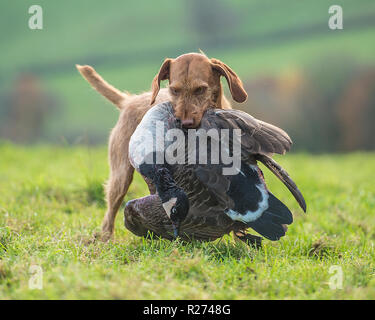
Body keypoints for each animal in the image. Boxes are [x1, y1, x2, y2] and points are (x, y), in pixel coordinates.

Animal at [76, 52, 248, 240]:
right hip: (120, 176)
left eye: (200, 89)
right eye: (174, 90)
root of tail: (130, 101)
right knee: (110, 213)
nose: (185, 123)